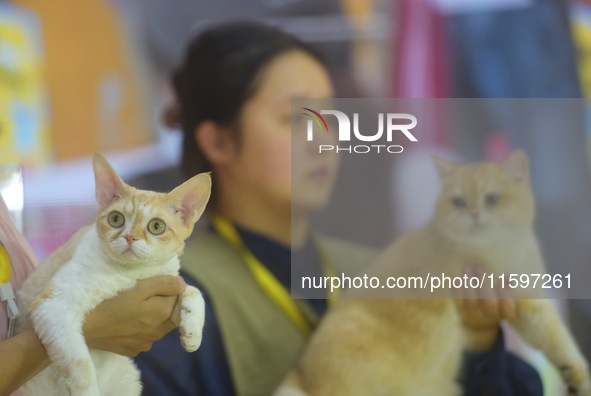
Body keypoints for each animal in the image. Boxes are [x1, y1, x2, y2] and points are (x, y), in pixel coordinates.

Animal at [14, 155, 213, 396]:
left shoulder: (167, 280)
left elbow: (192, 290)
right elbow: (80, 362)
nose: (130, 237)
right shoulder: (52, 306)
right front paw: (87, 390)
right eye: (116, 219)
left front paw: (193, 329)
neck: (131, 274)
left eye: (156, 226)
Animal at [278, 151, 591, 396]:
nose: (474, 213)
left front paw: (577, 376)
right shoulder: (520, 296)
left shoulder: (532, 300)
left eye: (492, 199)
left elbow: (559, 341)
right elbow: (559, 336)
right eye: (459, 202)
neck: (500, 246)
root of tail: (301, 372)